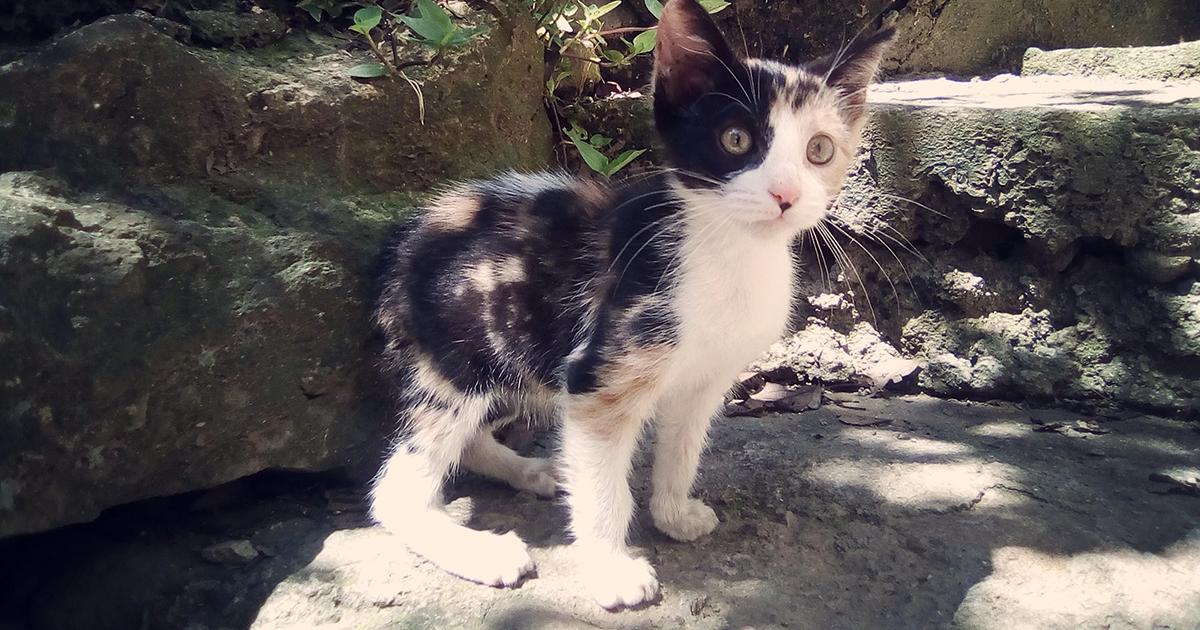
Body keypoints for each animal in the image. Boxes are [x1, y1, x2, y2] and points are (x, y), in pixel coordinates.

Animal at [372, 0, 892, 609]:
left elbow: (683, 446)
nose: (785, 195)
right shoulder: (599, 375)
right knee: (397, 489)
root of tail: (411, 236)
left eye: (820, 149)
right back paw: (478, 552)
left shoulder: (706, 377)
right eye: (736, 140)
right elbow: (605, 487)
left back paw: (533, 471)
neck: (729, 252)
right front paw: (611, 568)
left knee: (472, 437)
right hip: (465, 349)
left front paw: (673, 513)